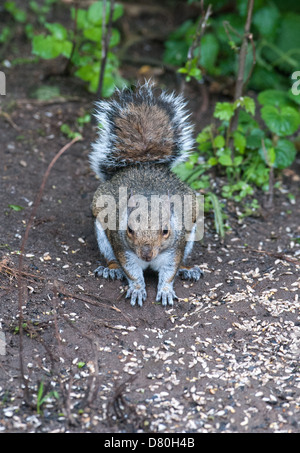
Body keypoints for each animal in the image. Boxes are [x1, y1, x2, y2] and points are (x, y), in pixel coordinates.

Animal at [89, 81, 202, 308]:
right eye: (130, 229)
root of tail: (144, 164)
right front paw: (137, 289)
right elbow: (132, 273)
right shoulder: (124, 249)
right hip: (102, 233)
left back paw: (187, 269)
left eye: (166, 231)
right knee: (111, 257)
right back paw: (111, 269)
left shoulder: (174, 251)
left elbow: (169, 273)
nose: (147, 254)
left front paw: (166, 290)